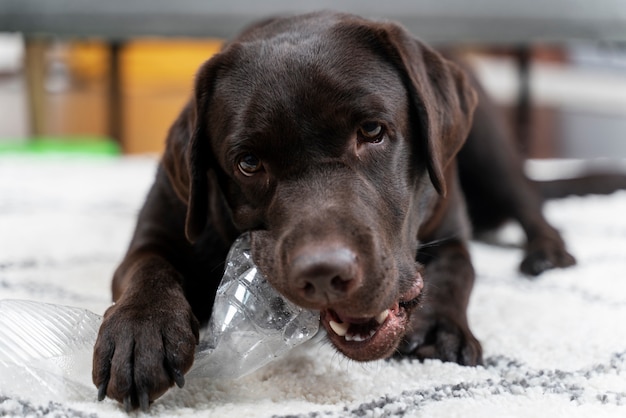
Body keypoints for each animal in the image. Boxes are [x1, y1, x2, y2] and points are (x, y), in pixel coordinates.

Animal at [94, 12, 580, 412]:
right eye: (248, 163)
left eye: (372, 131)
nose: (325, 272)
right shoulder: (161, 225)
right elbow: (146, 266)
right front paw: (140, 332)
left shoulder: (450, 229)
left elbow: (459, 268)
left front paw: (441, 327)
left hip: (490, 147)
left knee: (530, 203)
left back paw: (547, 254)